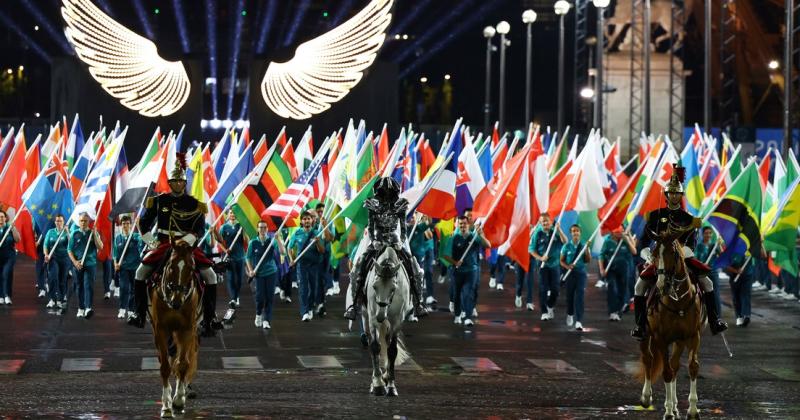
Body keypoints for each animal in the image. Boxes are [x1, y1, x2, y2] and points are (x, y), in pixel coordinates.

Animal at [148, 241, 202, 418]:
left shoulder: (187, 329)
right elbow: (165, 366)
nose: (176, 301)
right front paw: (166, 405)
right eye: (171, 266)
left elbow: (183, 363)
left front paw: (178, 400)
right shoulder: (160, 329)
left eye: (191, 268)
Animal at [362, 246, 412, 398]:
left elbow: (392, 350)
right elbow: (375, 347)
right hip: (366, 317)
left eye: (393, 288)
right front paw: (378, 384)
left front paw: (390, 385)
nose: (380, 316)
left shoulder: (397, 321)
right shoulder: (372, 318)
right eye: (374, 286)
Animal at [640, 233, 704, 420]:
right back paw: (646, 397)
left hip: (679, 341)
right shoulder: (660, 338)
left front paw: (692, 410)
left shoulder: (692, 336)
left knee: (675, 365)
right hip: (645, 335)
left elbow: (692, 367)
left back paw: (675, 406)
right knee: (648, 359)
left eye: (672, 253)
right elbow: (666, 372)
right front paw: (668, 411)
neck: (678, 302)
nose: (662, 284)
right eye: (655, 254)